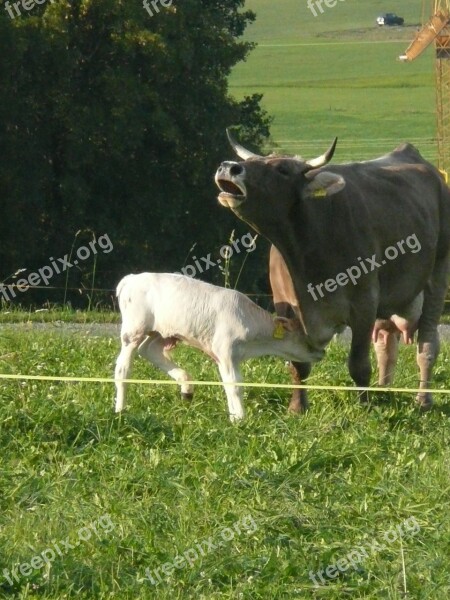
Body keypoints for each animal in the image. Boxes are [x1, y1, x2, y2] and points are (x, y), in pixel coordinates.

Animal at [113, 274, 324, 420]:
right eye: (306, 339)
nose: (322, 352)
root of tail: (132, 278)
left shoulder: (225, 357)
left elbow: (228, 383)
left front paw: (234, 415)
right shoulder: (226, 351)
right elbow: (235, 385)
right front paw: (240, 419)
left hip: (164, 333)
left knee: (149, 350)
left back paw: (186, 387)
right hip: (133, 331)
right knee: (123, 369)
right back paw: (120, 410)